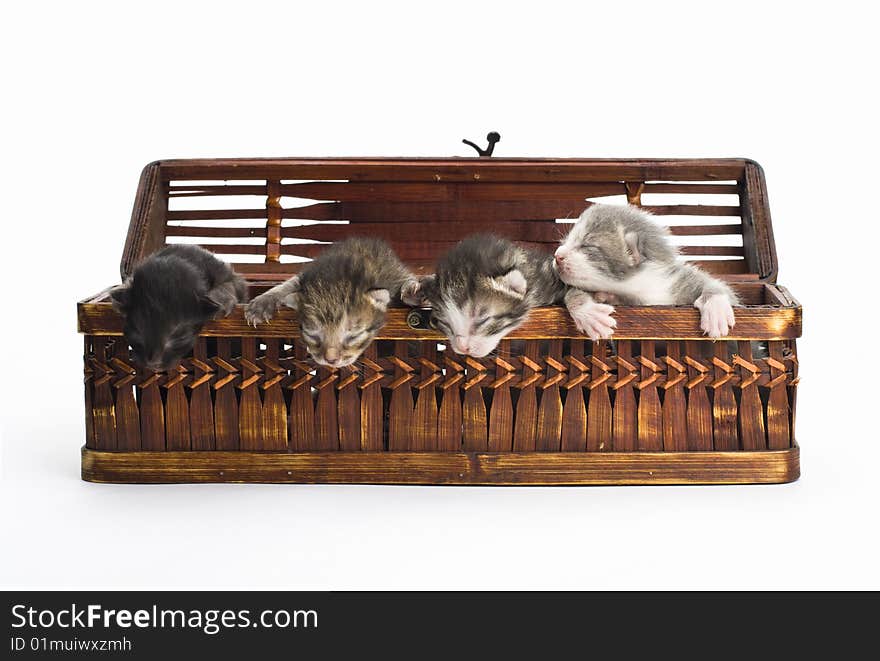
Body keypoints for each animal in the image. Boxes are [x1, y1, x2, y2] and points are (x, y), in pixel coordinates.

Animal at [111, 245, 248, 374]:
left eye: (178, 336)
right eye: (137, 332)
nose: (153, 363)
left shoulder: (229, 277)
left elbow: (228, 285)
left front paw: (221, 302)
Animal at [244, 237, 416, 372]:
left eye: (354, 336)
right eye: (312, 335)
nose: (331, 361)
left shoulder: (394, 272)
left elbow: (407, 280)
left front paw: (413, 290)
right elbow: (288, 284)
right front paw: (262, 303)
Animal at [552, 205, 740, 340]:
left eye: (587, 245)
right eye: (564, 242)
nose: (557, 256)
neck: (639, 288)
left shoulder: (675, 279)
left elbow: (720, 288)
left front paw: (716, 307)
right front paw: (589, 312)